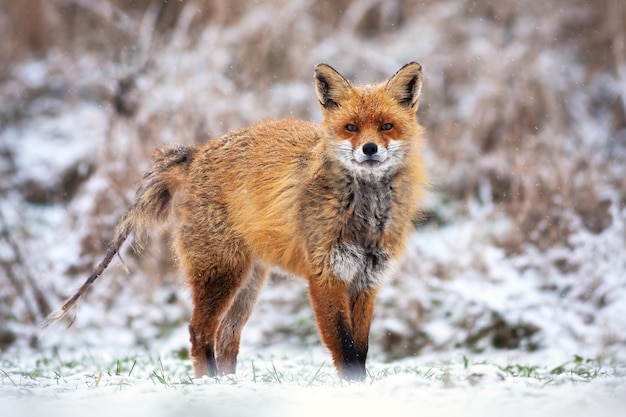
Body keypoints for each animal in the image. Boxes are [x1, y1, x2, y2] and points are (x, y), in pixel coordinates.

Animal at [41, 62, 426, 380]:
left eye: (387, 126)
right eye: (351, 127)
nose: (370, 149)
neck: (364, 216)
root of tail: (198, 151)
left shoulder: (366, 279)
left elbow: (361, 348)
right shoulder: (325, 276)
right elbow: (344, 348)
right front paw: (354, 390)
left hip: (247, 284)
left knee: (227, 337)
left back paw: (229, 384)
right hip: (221, 273)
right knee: (199, 331)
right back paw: (210, 384)